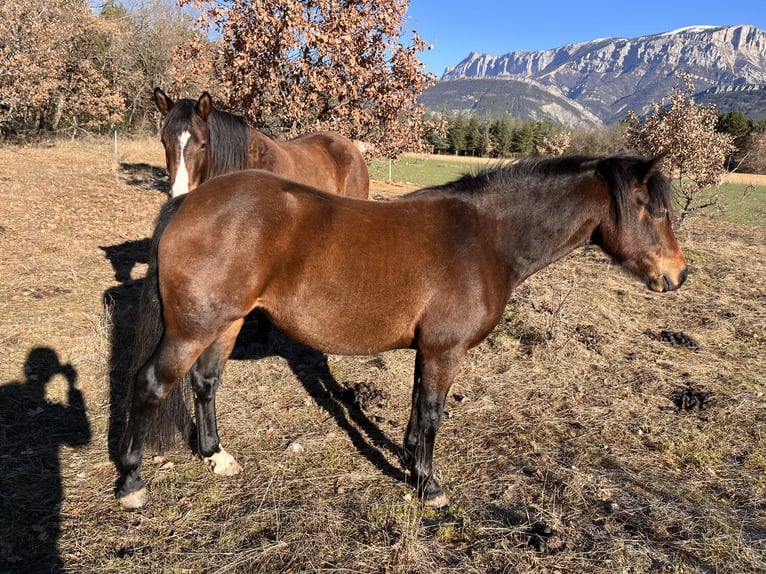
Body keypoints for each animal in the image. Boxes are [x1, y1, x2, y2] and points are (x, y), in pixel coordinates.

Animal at [116, 154, 688, 510]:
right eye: (657, 211)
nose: (678, 275)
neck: (487, 237)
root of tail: (189, 202)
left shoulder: (428, 350)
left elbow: (417, 414)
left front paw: (412, 467)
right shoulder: (444, 351)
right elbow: (432, 415)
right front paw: (430, 486)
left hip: (225, 324)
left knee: (205, 383)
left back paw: (216, 455)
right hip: (191, 330)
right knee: (150, 385)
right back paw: (132, 482)